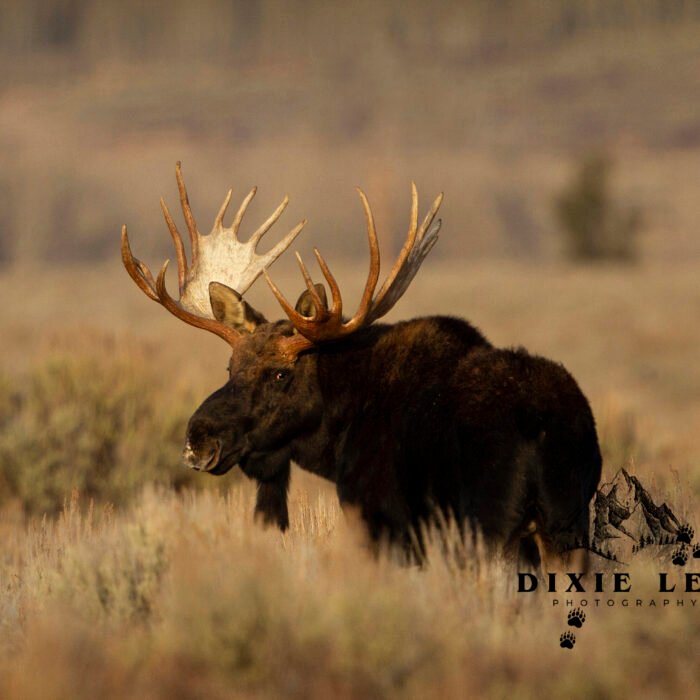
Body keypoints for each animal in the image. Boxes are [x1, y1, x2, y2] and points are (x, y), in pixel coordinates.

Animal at [121, 163, 602, 569]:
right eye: (229, 368)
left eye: (280, 373)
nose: (198, 440)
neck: (336, 433)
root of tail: (545, 427)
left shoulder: (380, 517)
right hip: (568, 529)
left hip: (493, 527)